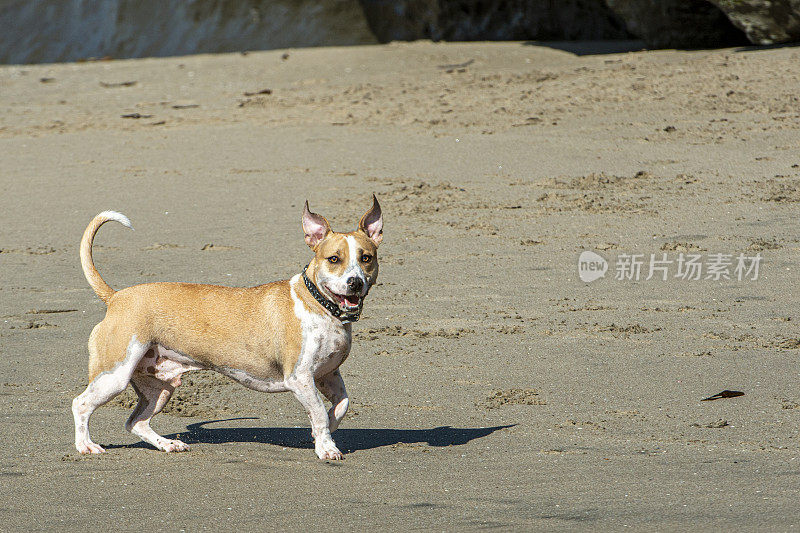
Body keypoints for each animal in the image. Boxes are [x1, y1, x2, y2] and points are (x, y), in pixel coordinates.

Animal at [70, 197, 382, 460]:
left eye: (366, 258)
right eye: (334, 259)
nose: (355, 282)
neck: (321, 307)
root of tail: (116, 297)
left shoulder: (328, 375)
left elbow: (340, 406)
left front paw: (323, 434)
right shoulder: (300, 378)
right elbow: (318, 411)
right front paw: (326, 447)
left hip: (159, 387)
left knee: (136, 422)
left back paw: (167, 444)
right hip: (114, 375)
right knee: (81, 404)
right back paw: (86, 445)